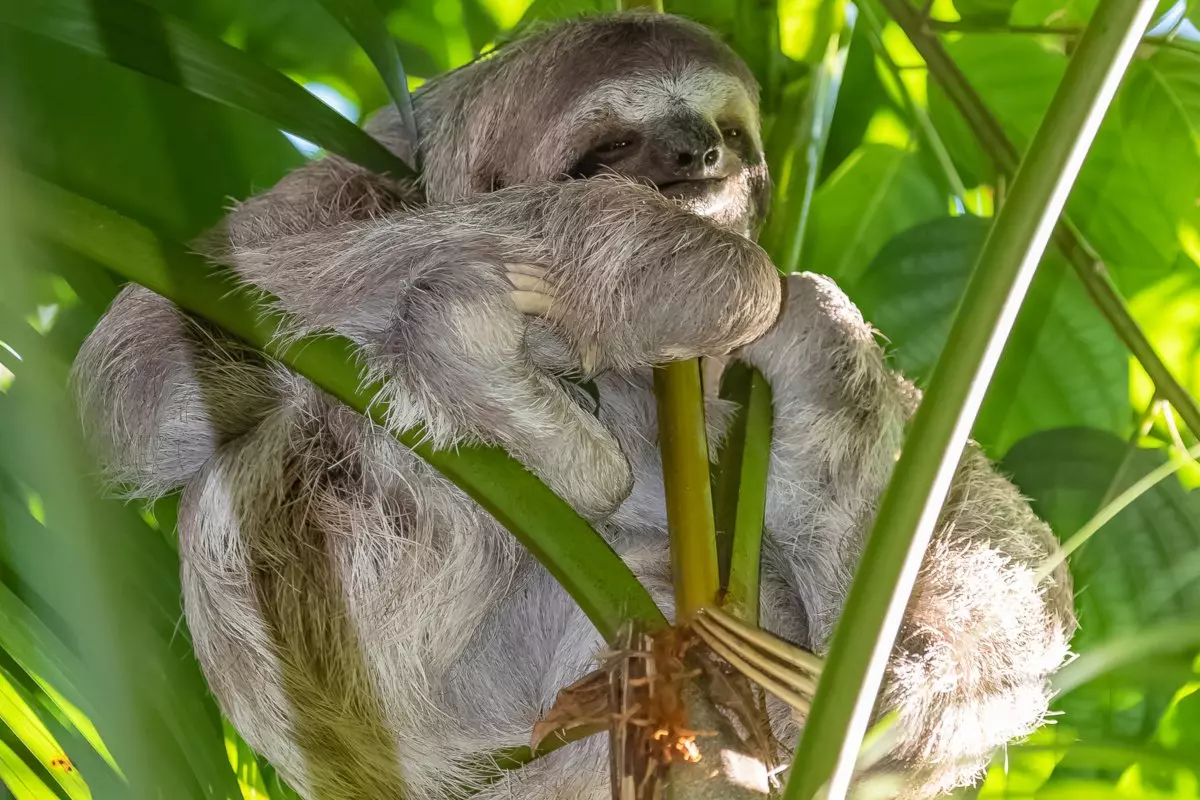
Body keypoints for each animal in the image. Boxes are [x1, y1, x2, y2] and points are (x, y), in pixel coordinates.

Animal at [71, 12, 1075, 800]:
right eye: (614, 142)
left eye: (730, 127)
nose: (700, 153)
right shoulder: (357, 175)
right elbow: (142, 358)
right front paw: (675, 272)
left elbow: (1013, 557)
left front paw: (906, 678)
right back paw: (504, 388)